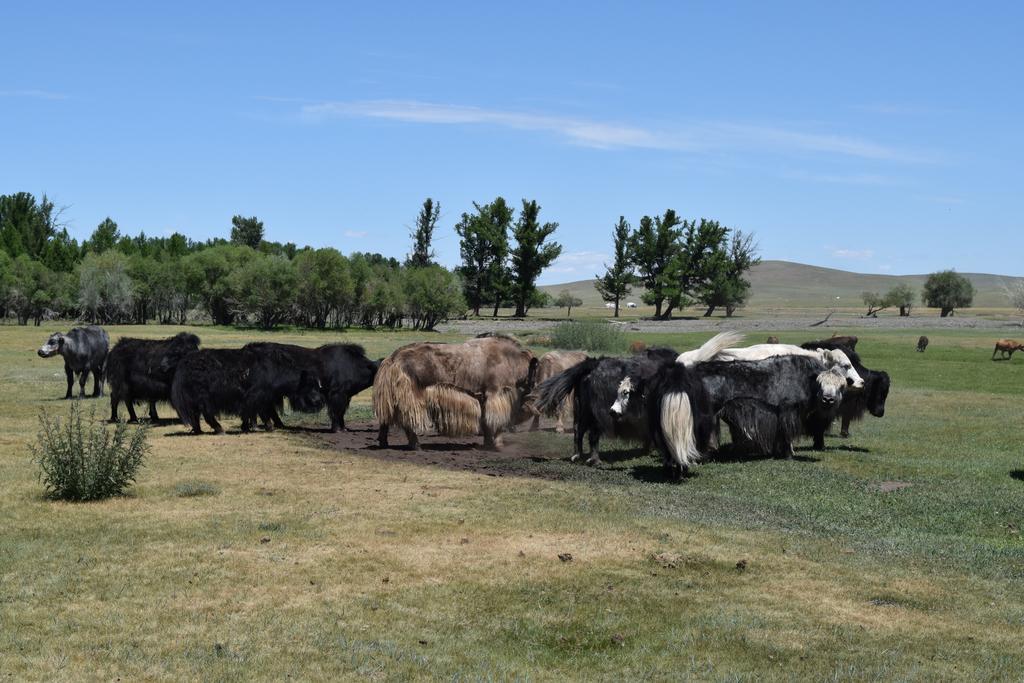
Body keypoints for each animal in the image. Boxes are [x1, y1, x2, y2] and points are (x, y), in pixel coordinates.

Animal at [168, 350, 323, 436]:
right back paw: (219, 429)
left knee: (195, 415)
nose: (320, 402)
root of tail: (184, 363)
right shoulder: (259, 396)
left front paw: (246, 427)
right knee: (206, 415)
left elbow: (256, 412)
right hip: (203, 398)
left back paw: (199, 431)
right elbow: (263, 412)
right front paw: (269, 427)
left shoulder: (262, 397)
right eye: (311, 385)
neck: (276, 370)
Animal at [372, 333, 540, 450]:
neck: (510, 359)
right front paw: (498, 445)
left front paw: (487, 444)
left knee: (386, 419)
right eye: (534, 376)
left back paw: (384, 443)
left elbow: (485, 422)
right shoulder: (496, 394)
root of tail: (392, 358)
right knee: (408, 421)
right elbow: (496, 421)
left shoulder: (483, 398)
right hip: (412, 397)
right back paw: (416, 445)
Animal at [536, 348, 679, 464]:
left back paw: (577, 455)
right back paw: (595, 460)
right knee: (593, 434)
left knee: (578, 430)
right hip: (598, 413)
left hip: (581, 409)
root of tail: (592, 364)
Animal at [614, 356, 847, 479]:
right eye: (821, 384)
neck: (805, 378)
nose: (828, 399)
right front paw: (788, 454)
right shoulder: (787, 410)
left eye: (841, 386)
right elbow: (786, 434)